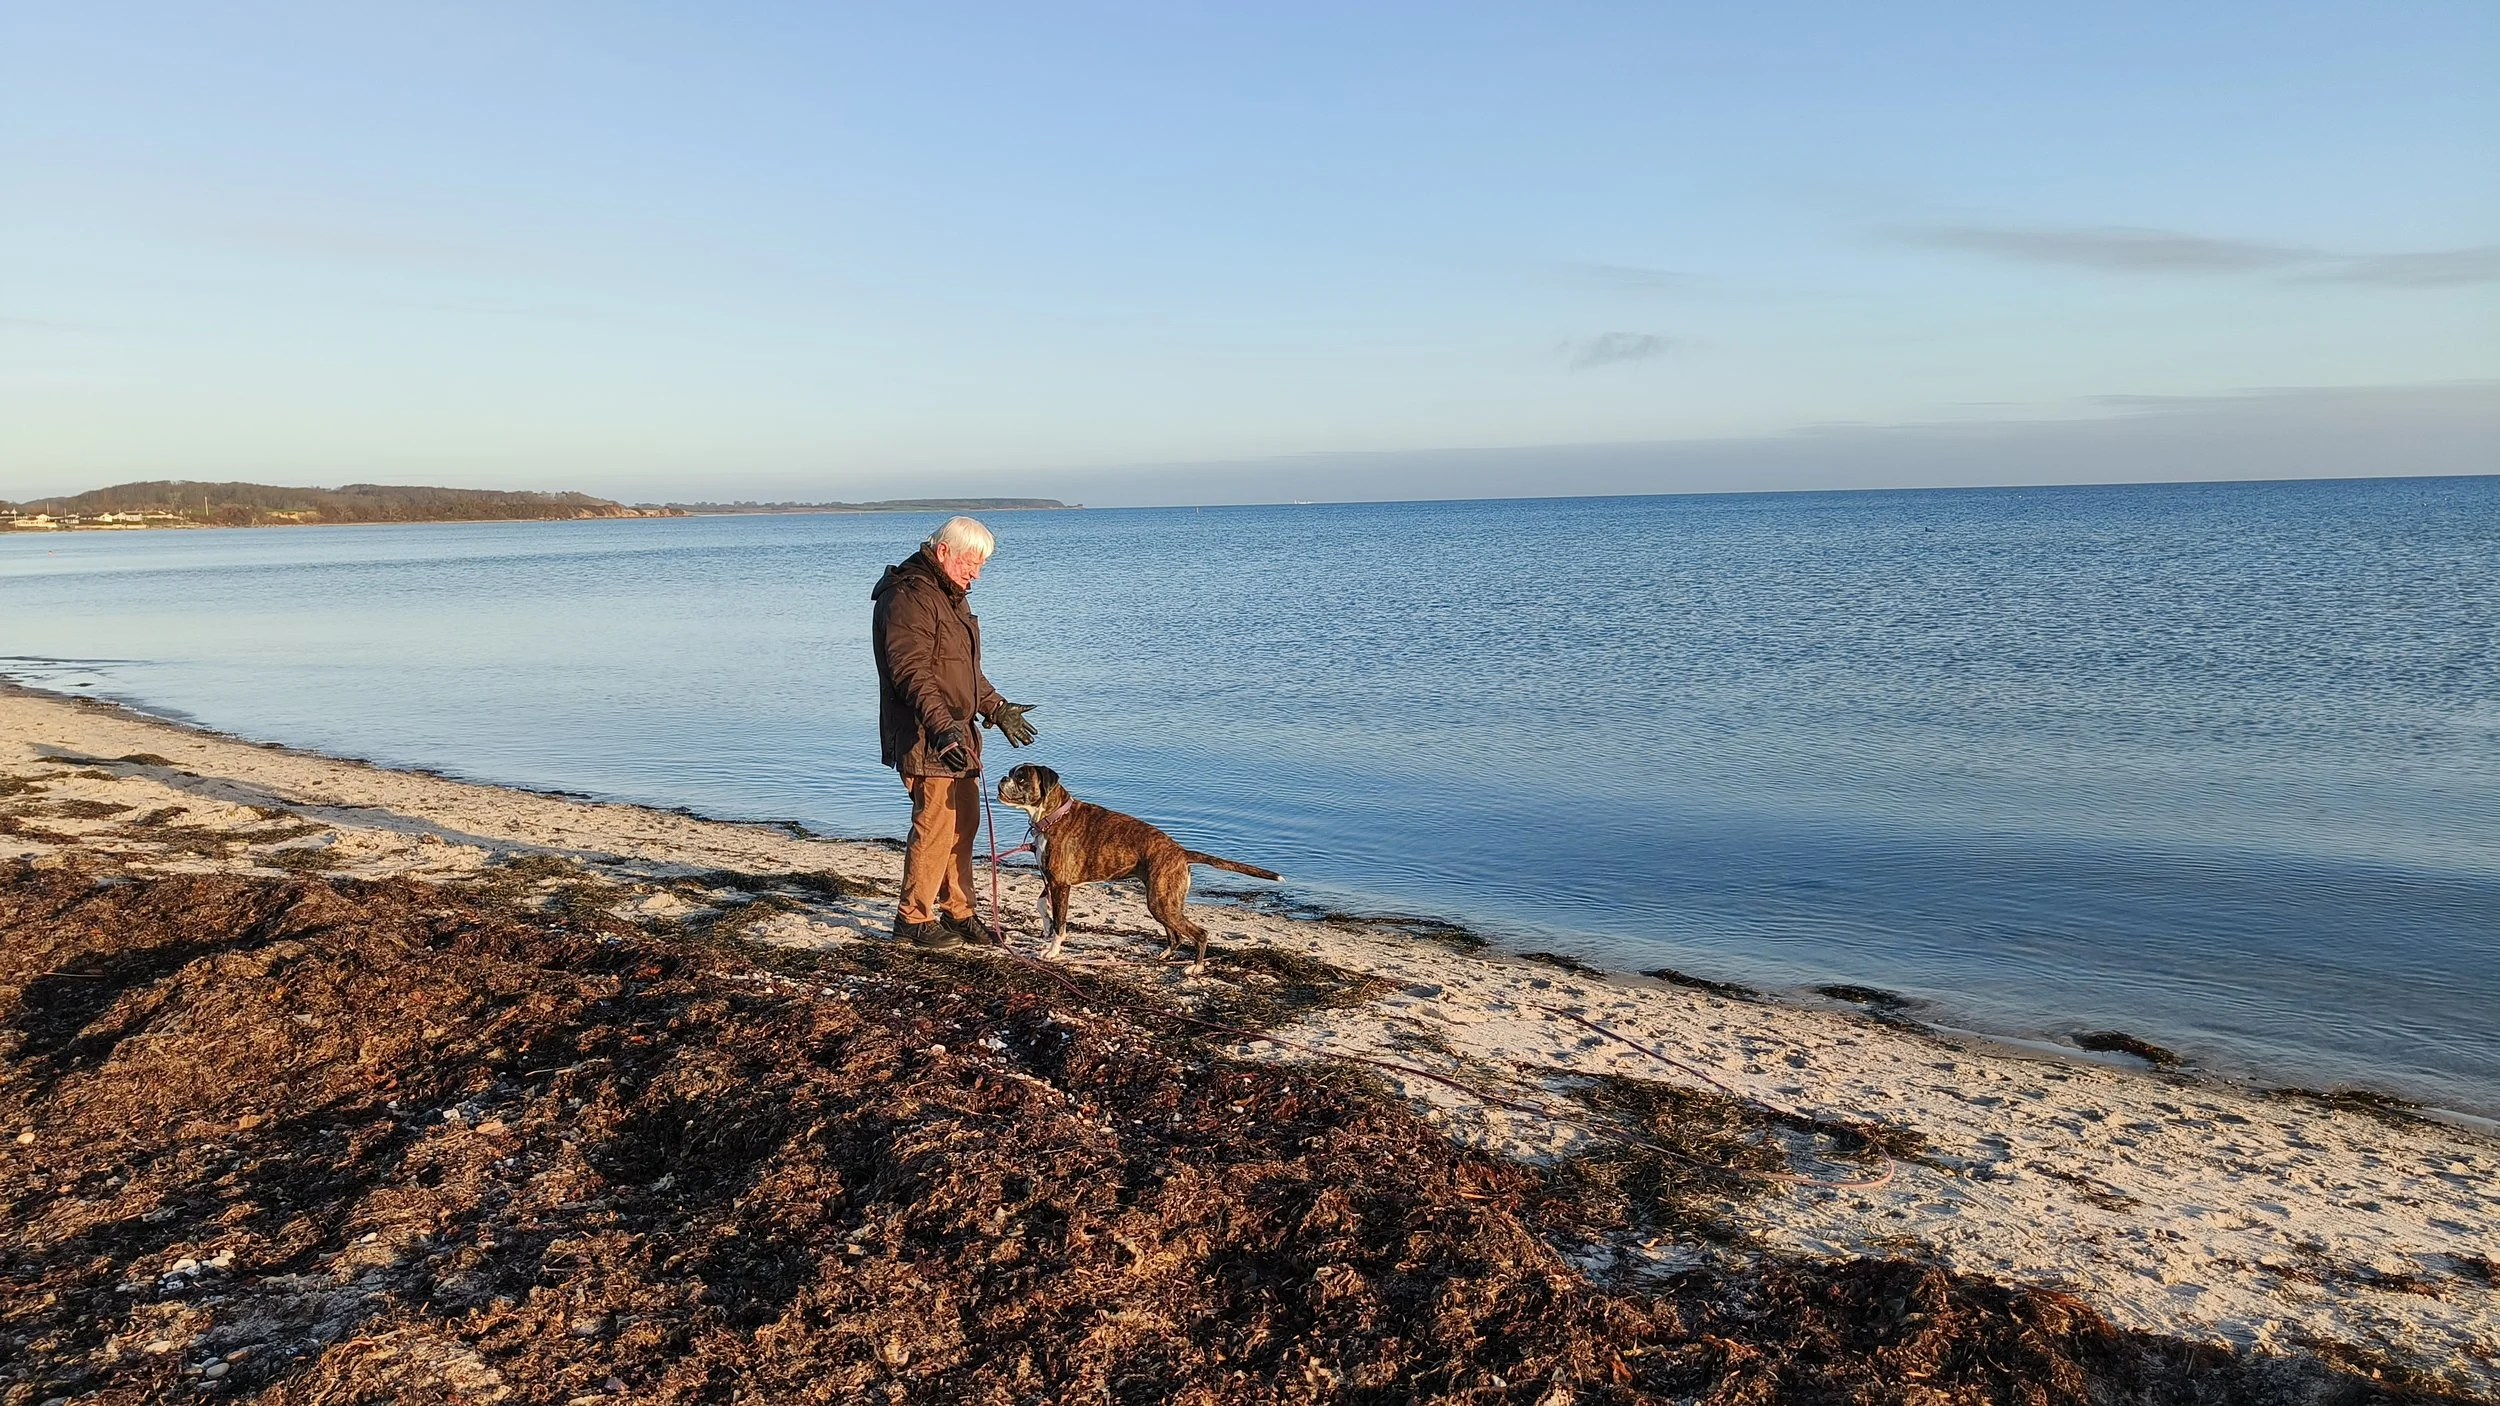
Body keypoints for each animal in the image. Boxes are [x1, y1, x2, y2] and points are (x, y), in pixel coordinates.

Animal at [993, 763, 1280, 968]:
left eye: (1021, 778)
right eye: (1012, 773)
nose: (1003, 778)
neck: (1052, 816)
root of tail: (1180, 852)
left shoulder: (1061, 884)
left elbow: (1061, 924)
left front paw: (1052, 951)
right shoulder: (1050, 880)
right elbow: (1042, 905)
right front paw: (1045, 928)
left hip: (1161, 902)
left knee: (1199, 932)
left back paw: (1195, 968)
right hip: (1162, 902)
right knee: (1176, 935)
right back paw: (1165, 956)